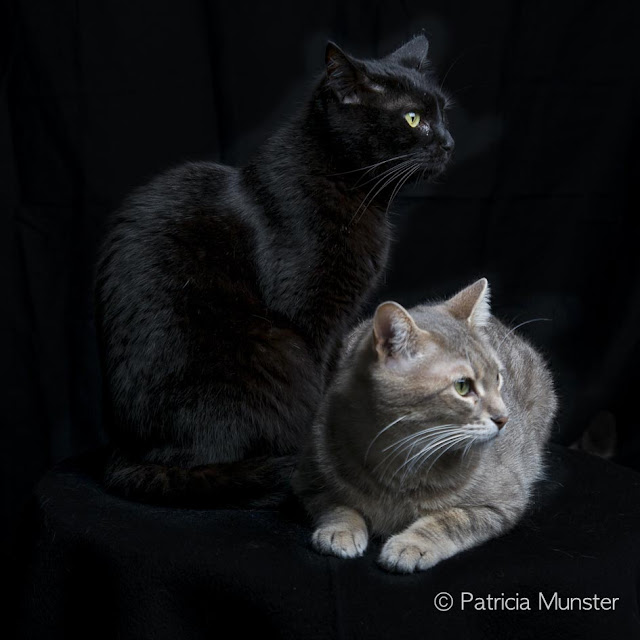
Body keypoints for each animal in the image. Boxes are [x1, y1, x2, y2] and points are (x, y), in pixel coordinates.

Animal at [95, 35, 455, 506]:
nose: (449, 142)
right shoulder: (311, 315)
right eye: (413, 119)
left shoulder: (340, 322)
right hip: (269, 352)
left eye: (443, 112)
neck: (353, 191)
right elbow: (323, 381)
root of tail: (129, 451)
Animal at [293, 278, 558, 572]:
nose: (504, 418)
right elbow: (336, 504)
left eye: (498, 378)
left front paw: (412, 544)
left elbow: (451, 519)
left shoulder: (502, 502)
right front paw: (340, 529)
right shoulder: (308, 480)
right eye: (462, 386)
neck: (400, 460)